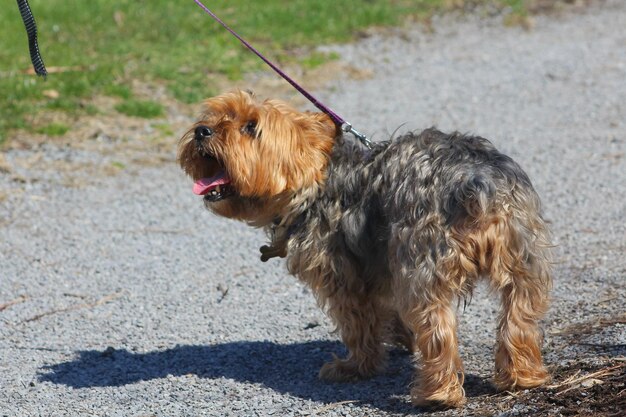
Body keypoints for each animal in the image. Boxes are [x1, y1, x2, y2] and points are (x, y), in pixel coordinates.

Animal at [177, 90, 552, 406]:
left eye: (251, 127)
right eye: (216, 116)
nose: (202, 131)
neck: (313, 182)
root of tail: (475, 182)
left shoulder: (344, 277)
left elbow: (359, 325)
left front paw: (356, 366)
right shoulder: (380, 267)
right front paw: (401, 339)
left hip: (423, 264)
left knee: (438, 328)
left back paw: (437, 394)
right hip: (522, 256)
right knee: (519, 316)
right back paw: (523, 377)